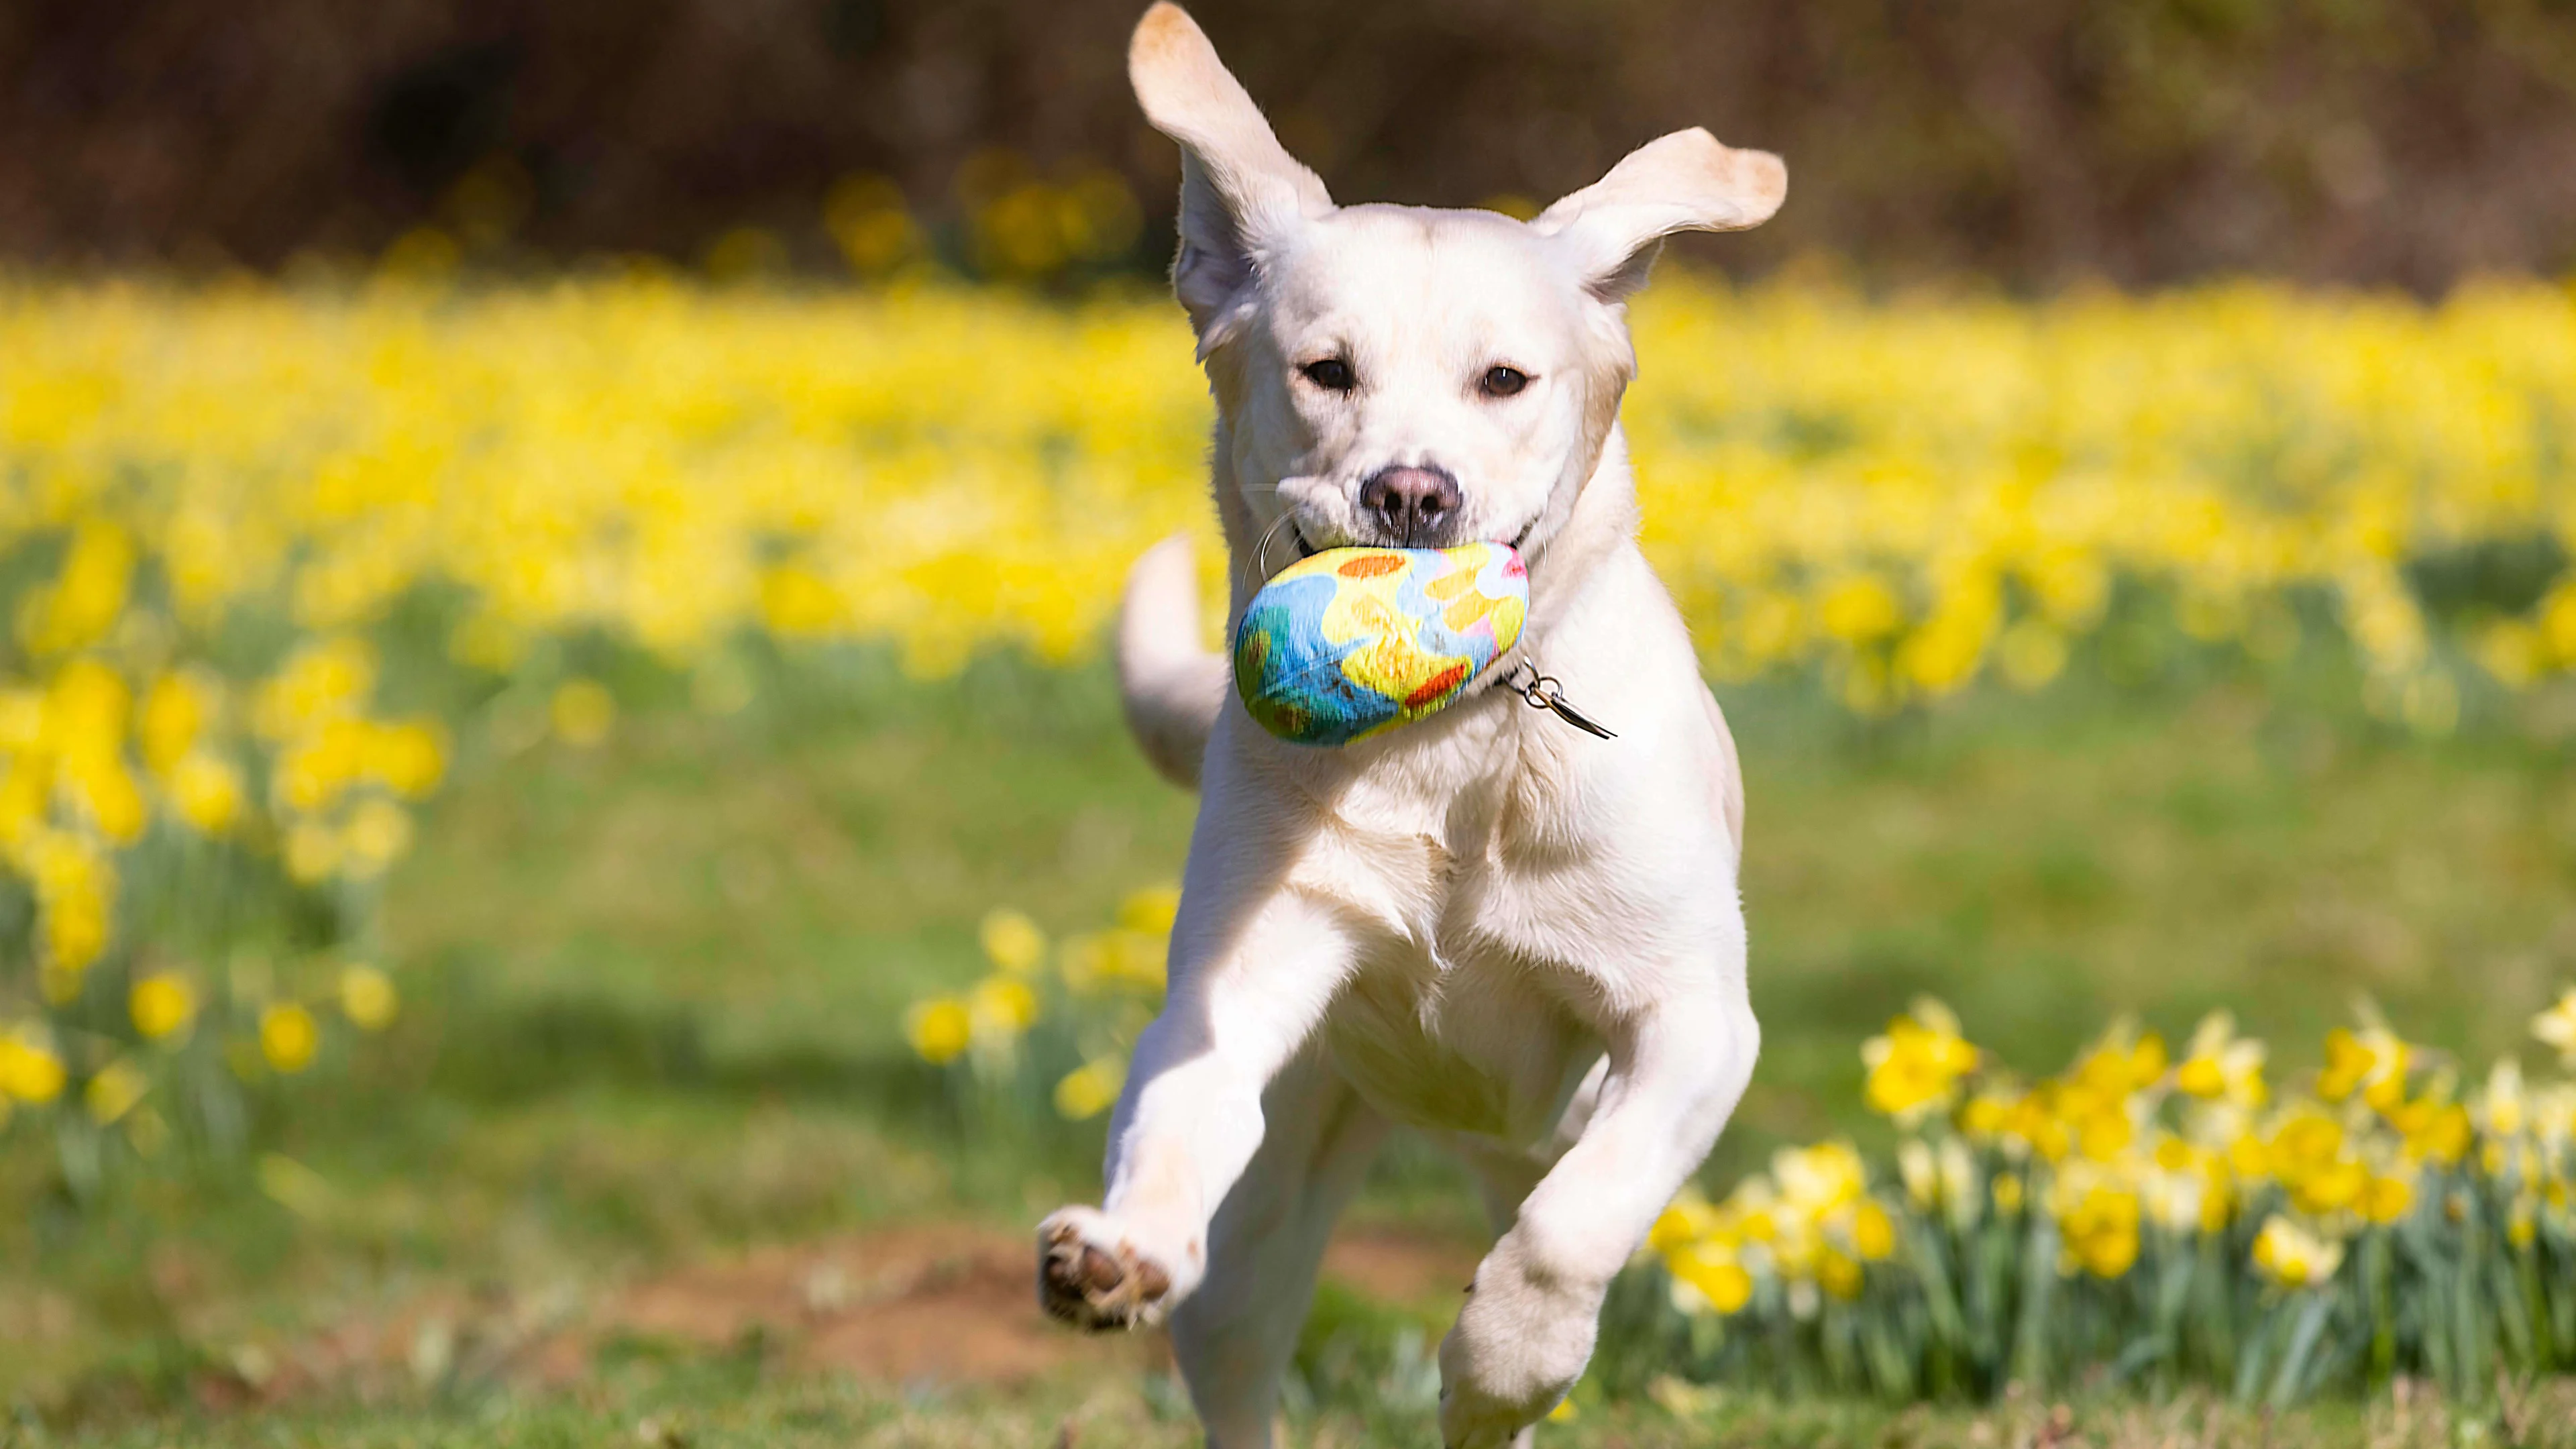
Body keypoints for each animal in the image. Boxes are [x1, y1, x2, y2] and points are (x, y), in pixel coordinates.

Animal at [1035, 5, 1782, 1433]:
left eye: (1506, 379)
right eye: (1326, 371)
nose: (1414, 495)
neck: (1457, 743)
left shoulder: (1695, 1020)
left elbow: (1573, 1229)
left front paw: (1500, 1360)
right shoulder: (1244, 973)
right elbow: (1179, 1107)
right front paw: (1115, 1247)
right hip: (1284, 1196)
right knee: (1234, 1349)